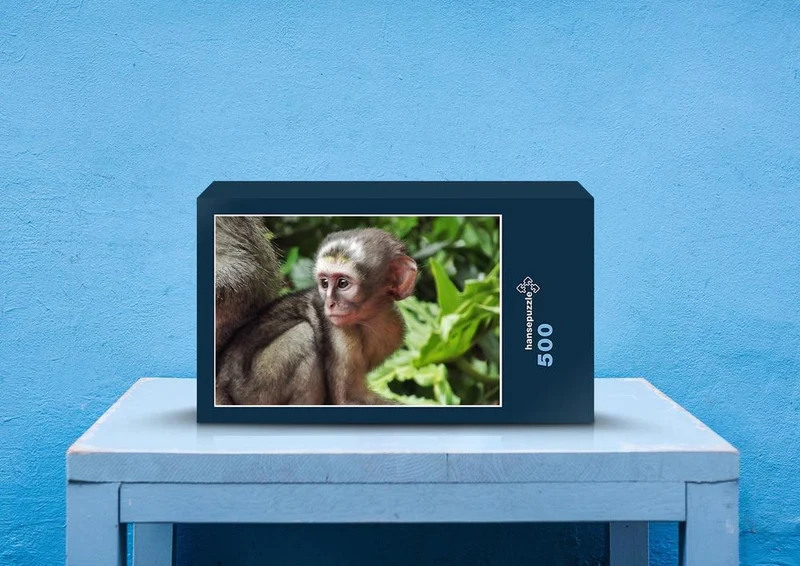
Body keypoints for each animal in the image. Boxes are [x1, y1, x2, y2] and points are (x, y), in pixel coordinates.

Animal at [215, 227, 418, 406]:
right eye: (325, 283)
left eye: (342, 283)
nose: (329, 303)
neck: (370, 319)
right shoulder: (339, 331)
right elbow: (347, 399)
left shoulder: (394, 327)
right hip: (252, 391)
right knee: (303, 335)